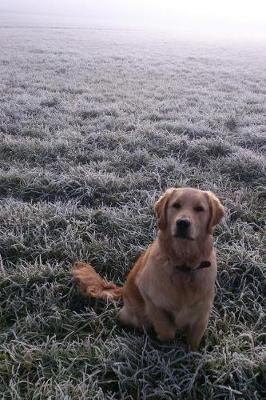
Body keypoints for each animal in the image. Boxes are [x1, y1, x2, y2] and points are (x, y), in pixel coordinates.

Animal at [73, 188, 224, 350]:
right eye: (176, 205)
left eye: (199, 209)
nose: (182, 223)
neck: (184, 266)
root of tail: (123, 289)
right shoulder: (151, 298)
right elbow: (166, 330)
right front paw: (164, 342)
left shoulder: (201, 315)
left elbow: (193, 343)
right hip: (131, 316)